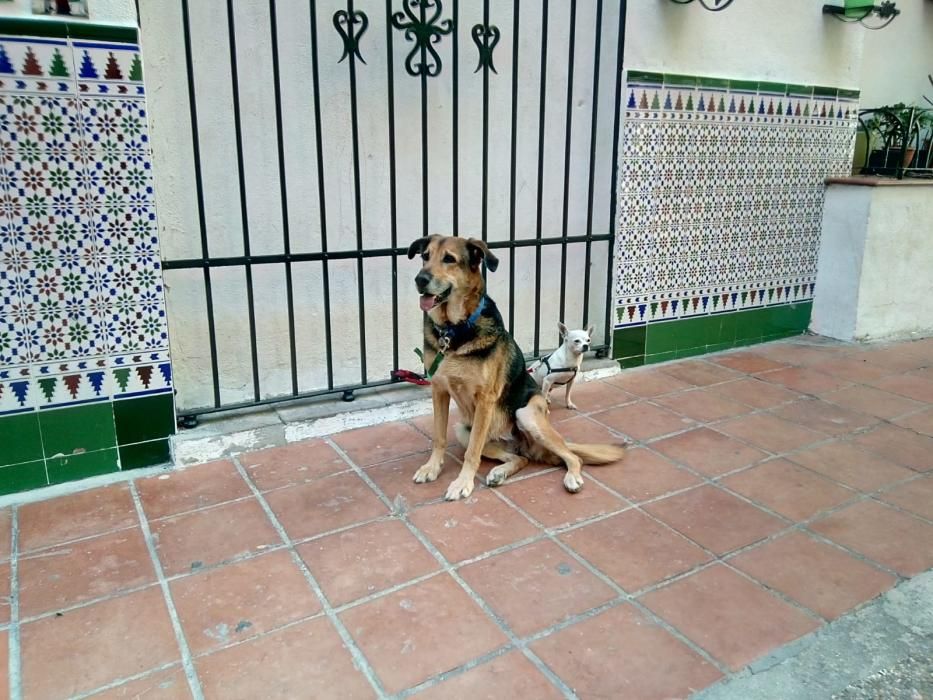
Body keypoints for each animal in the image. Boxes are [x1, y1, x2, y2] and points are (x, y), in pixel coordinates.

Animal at [404, 238, 624, 500]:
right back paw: (500, 473)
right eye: (425, 256)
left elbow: (472, 453)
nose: (419, 280)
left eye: (449, 259)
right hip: (464, 429)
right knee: (520, 459)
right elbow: (439, 437)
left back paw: (572, 478)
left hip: (526, 415)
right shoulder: (439, 390)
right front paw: (431, 468)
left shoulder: (485, 399)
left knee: (572, 457)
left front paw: (462, 482)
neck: (455, 331)